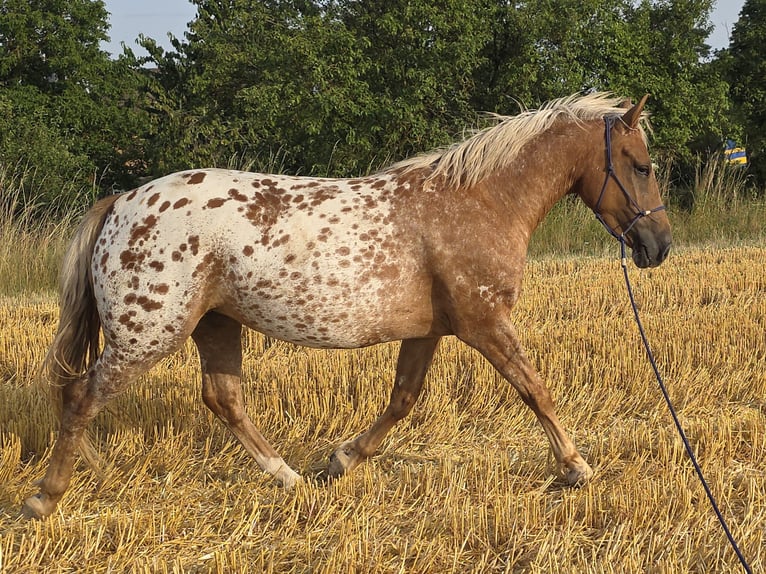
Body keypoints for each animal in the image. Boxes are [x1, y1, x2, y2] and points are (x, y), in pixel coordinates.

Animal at [22, 92, 671, 519]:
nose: (658, 245)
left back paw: (289, 479)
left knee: (222, 399)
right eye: (641, 166)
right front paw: (575, 467)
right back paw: (43, 499)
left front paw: (341, 461)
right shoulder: (484, 322)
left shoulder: (429, 330)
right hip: (148, 332)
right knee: (81, 396)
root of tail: (122, 200)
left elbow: (403, 399)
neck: (479, 202)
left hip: (214, 324)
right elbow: (533, 388)